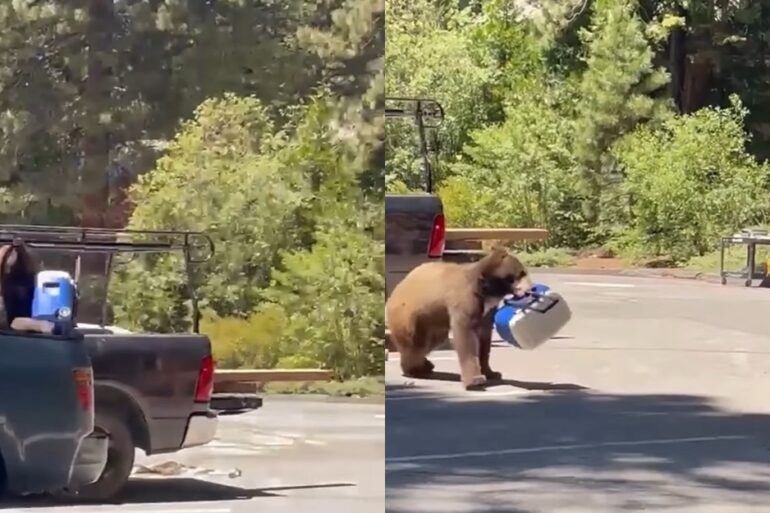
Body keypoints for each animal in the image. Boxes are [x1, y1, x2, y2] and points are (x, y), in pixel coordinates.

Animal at [385, 246, 531, 390]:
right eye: (520, 274)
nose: (529, 289)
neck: (486, 289)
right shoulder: (466, 299)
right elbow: (466, 334)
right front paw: (475, 380)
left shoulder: (487, 309)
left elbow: (484, 337)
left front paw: (492, 372)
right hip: (410, 317)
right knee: (415, 344)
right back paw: (415, 369)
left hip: (433, 321)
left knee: (431, 341)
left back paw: (424, 365)